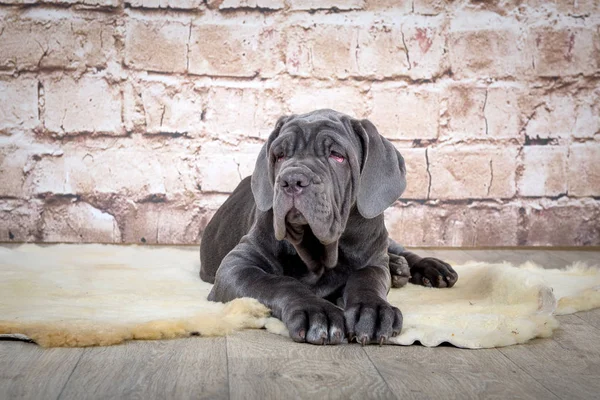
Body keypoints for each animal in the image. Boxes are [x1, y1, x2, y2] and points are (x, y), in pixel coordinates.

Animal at [199, 108, 458, 344]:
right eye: (280, 155)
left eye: (337, 155)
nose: (292, 179)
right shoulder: (236, 266)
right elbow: (278, 282)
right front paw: (316, 312)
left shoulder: (373, 261)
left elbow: (367, 279)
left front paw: (372, 310)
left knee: (397, 249)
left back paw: (429, 267)